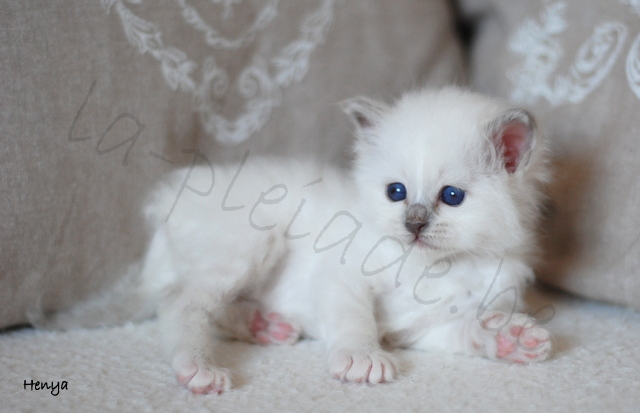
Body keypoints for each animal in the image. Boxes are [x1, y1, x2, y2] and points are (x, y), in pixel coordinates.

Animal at [140, 87, 552, 392]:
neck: (436, 266)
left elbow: (470, 330)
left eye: (452, 196)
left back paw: (264, 326)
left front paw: (512, 338)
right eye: (396, 192)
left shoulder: (431, 326)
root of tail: (167, 198)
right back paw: (200, 369)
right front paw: (363, 360)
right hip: (252, 244)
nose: (413, 225)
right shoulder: (344, 276)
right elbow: (356, 320)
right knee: (181, 303)